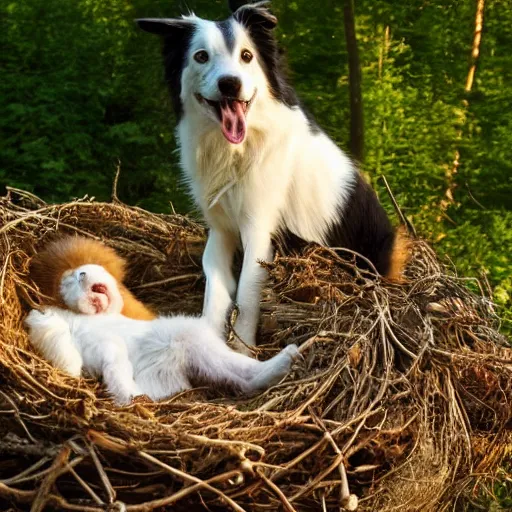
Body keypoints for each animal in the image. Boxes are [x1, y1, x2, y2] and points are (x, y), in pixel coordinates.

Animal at [136, 0, 408, 350]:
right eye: (201, 56)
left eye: (246, 55)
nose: (230, 83)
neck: (239, 148)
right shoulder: (221, 231)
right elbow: (215, 292)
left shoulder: (260, 229)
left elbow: (247, 295)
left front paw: (243, 351)